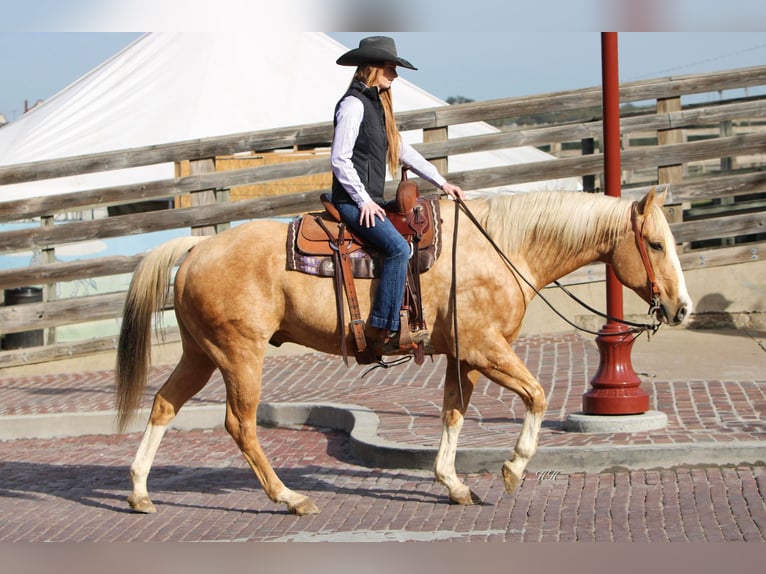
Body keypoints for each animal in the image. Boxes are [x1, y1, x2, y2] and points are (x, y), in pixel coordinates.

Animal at [115, 189, 696, 516]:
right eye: (657, 244)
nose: (683, 308)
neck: (500, 247)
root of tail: (195, 247)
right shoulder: (487, 348)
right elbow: (536, 396)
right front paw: (512, 469)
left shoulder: (464, 357)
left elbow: (453, 415)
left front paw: (453, 484)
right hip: (240, 357)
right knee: (241, 425)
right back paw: (290, 498)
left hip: (201, 354)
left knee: (163, 405)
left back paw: (140, 493)